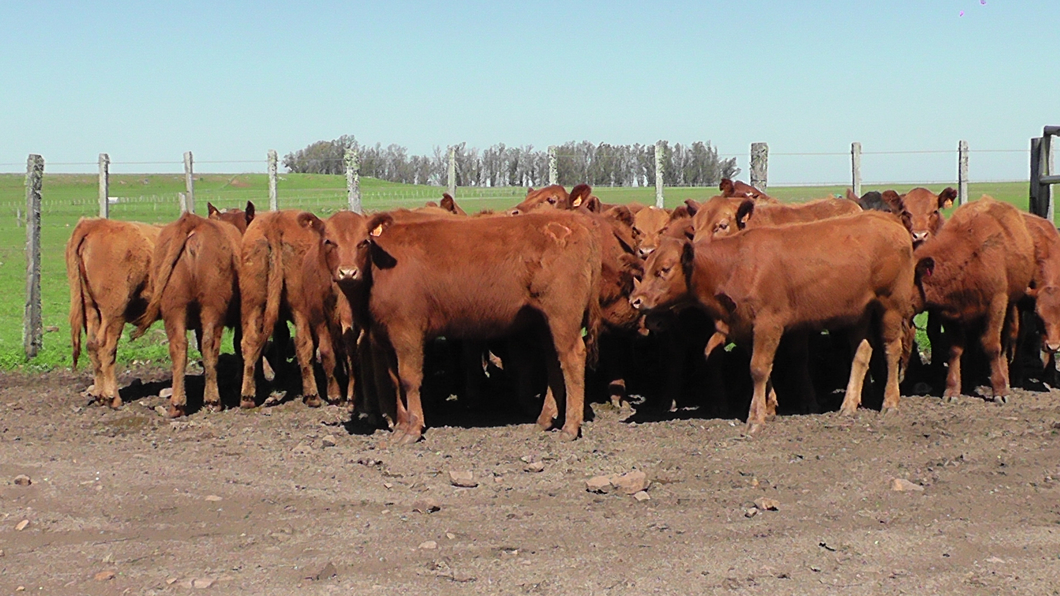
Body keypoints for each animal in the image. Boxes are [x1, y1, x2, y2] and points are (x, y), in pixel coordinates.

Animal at [132, 211, 243, 415]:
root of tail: (193, 221)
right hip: (212, 305)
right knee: (210, 344)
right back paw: (213, 400)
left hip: (174, 307)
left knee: (179, 346)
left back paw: (177, 404)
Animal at [360, 211, 602, 443]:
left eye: (363, 242)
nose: (350, 271)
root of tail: (575, 221)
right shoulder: (387, 336)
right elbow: (395, 380)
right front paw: (401, 427)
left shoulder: (407, 330)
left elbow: (409, 378)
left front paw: (412, 429)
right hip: (545, 321)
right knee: (554, 360)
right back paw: (545, 419)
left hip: (563, 315)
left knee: (572, 357)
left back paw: (570, 427)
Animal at [627, 211, 911, 428]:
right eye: (645, 268)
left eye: (664, 269)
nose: (636, 300)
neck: (734, 265)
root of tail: (886, 218)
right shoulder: (744, 327)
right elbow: (762, 367)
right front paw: (770, 405)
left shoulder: (768, 323)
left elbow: (758, 368)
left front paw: (756, 417)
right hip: (859, 312)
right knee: (861, 353)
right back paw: (849, 404)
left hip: (890, 305)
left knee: (891, 349)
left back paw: (890, 402)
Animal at [911, 198, 1034, 398]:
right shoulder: (949, 314)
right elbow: (955, 349)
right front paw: (952, 389)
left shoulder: (996, 304)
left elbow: (991, 345)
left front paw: (1000, 389)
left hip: (1009, 304)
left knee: (1005, 339)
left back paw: (1004, 376)